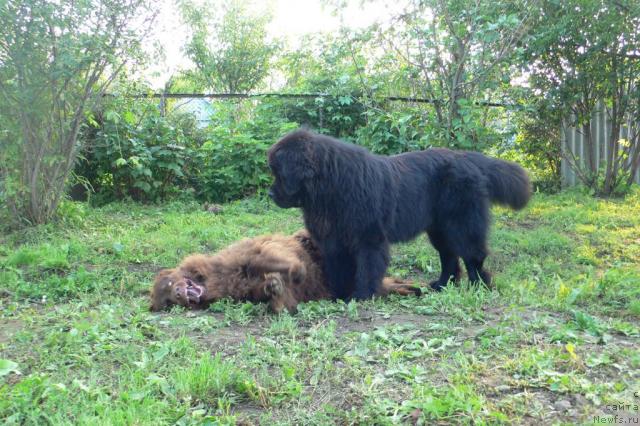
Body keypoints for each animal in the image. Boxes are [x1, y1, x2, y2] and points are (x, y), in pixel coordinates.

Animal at [149, 230, 420, 312]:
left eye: (170, 285)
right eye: (171, 301)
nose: (181, 295)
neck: (214, 278)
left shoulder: (254, 253)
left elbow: (283, 261)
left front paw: (296, 273)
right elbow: (279, 298)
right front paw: (276, 290)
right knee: (386, 285)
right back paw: (414, 288)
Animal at [266, 130, 528, 300]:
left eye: (279, 173)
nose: (270, 193)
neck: (328, 188)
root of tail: (468, 157)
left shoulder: (368, 238)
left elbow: (366, 269)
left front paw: (361, 295)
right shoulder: (334, 241)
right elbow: (339, 269)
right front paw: (339, 295)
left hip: (462, 225)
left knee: (473, 256)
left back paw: (477, 287)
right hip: (439, 230)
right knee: (449, 257)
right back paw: (442, 285)